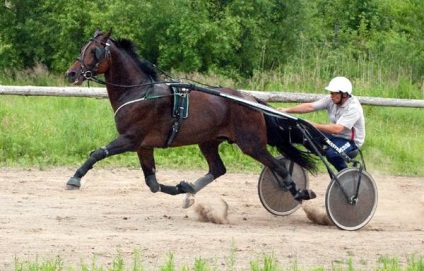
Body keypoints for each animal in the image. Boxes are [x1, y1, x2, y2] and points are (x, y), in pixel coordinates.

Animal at [66, 29, 316, 208]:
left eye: (94, 51)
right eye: (82, 48)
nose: (71, 73)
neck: (139, 92)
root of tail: (250, 99)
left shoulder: (131, 139)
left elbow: (98, 153)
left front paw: (75, 179)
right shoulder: (144, 146)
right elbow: (152, 183)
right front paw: (182, 187)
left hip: (251, 143)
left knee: (278, 166)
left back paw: (297, 191)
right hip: (209, 141)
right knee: (218, 169)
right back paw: (190, 191)